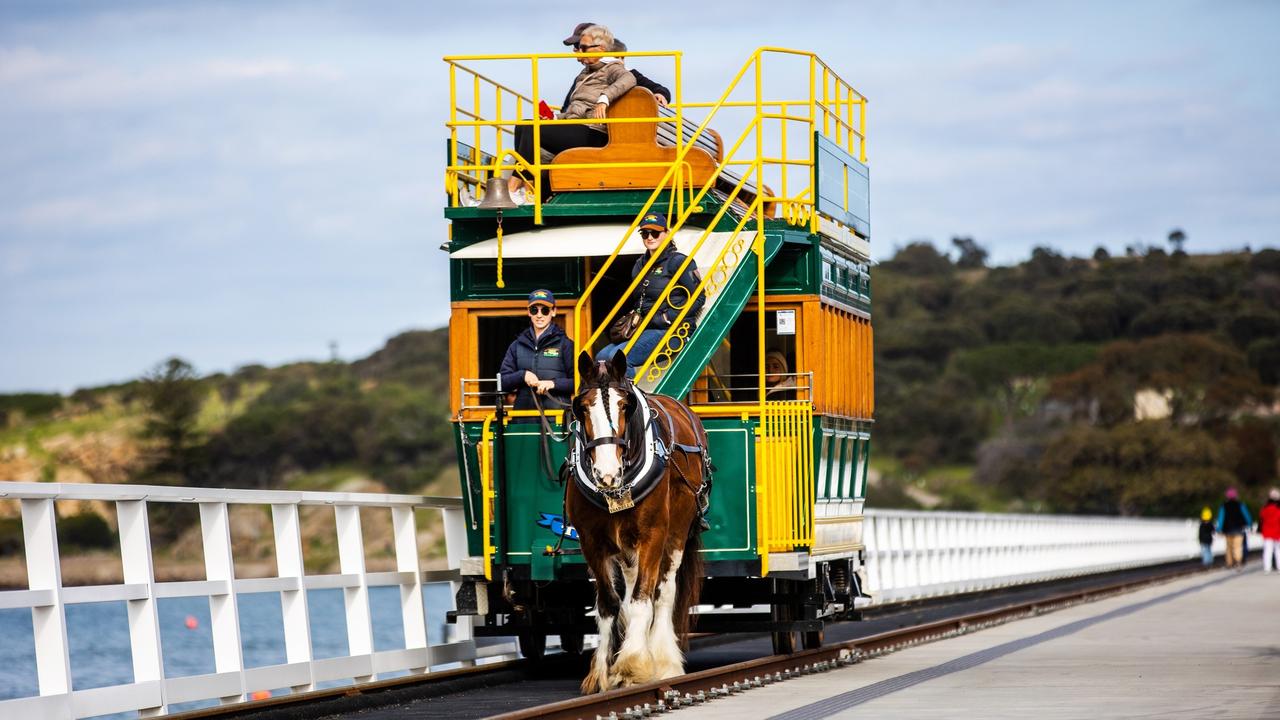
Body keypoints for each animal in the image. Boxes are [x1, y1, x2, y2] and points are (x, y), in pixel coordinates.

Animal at [568, 348, 711, 691]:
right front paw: (601, 672)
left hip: (676, 533)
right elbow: (609, 602)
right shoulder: (591, 542)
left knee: (663, 591)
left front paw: (632, 664)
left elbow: (643, 598)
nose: (606, 473)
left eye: (625, 405)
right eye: (583, 407)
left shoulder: (653, 534)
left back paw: (664, 660)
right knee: (631, 586)